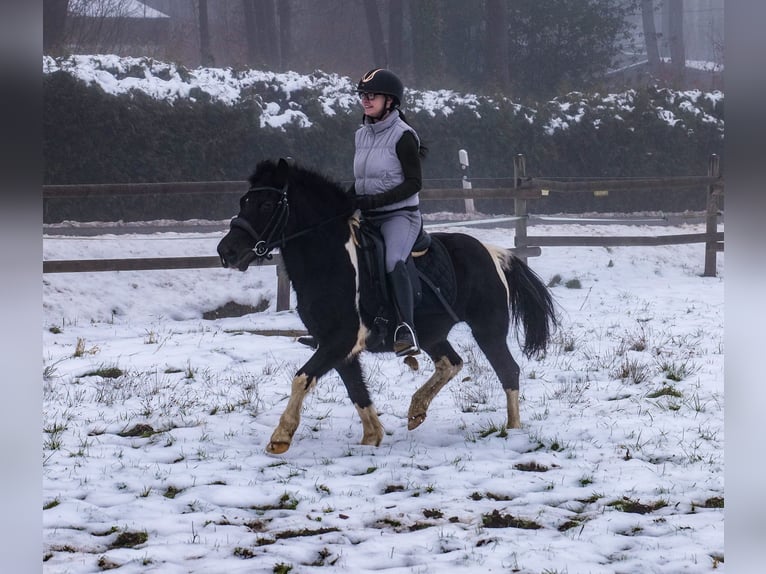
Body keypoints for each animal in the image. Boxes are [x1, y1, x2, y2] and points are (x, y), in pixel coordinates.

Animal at [216, 160, 560, 456]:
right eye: (244, 201)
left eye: (266, 205)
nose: (226, 251)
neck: (330, 261)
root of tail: (494, 253)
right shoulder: (336, 345)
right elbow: (356, 390)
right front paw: (372, 438)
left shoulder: (340, 340)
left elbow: (302, 378)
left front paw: (281, 437)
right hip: (433, 334)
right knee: (451, 363)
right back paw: (416, 410)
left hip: (488, 329)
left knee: (508, 370)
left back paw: (512, 430)